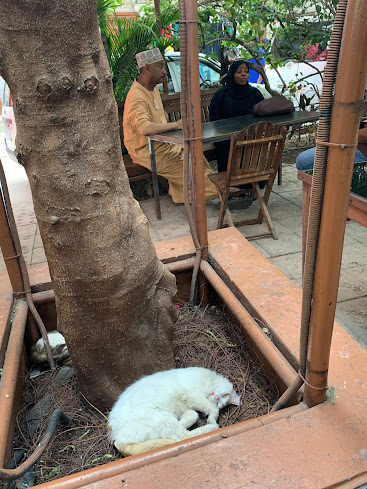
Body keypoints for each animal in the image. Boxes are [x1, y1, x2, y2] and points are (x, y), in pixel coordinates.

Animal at [108, 366, 242, 458]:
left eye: (219, 403)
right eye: (224, 395)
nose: (216, 397)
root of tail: (117, 439)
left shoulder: (187, 407)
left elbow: (194, 415)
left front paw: (184, 422)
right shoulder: (194, 396)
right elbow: (210, 410)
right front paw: (211, 418)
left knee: (181, 435)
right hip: (161, 416)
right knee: (182, 437)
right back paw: (212, 427)